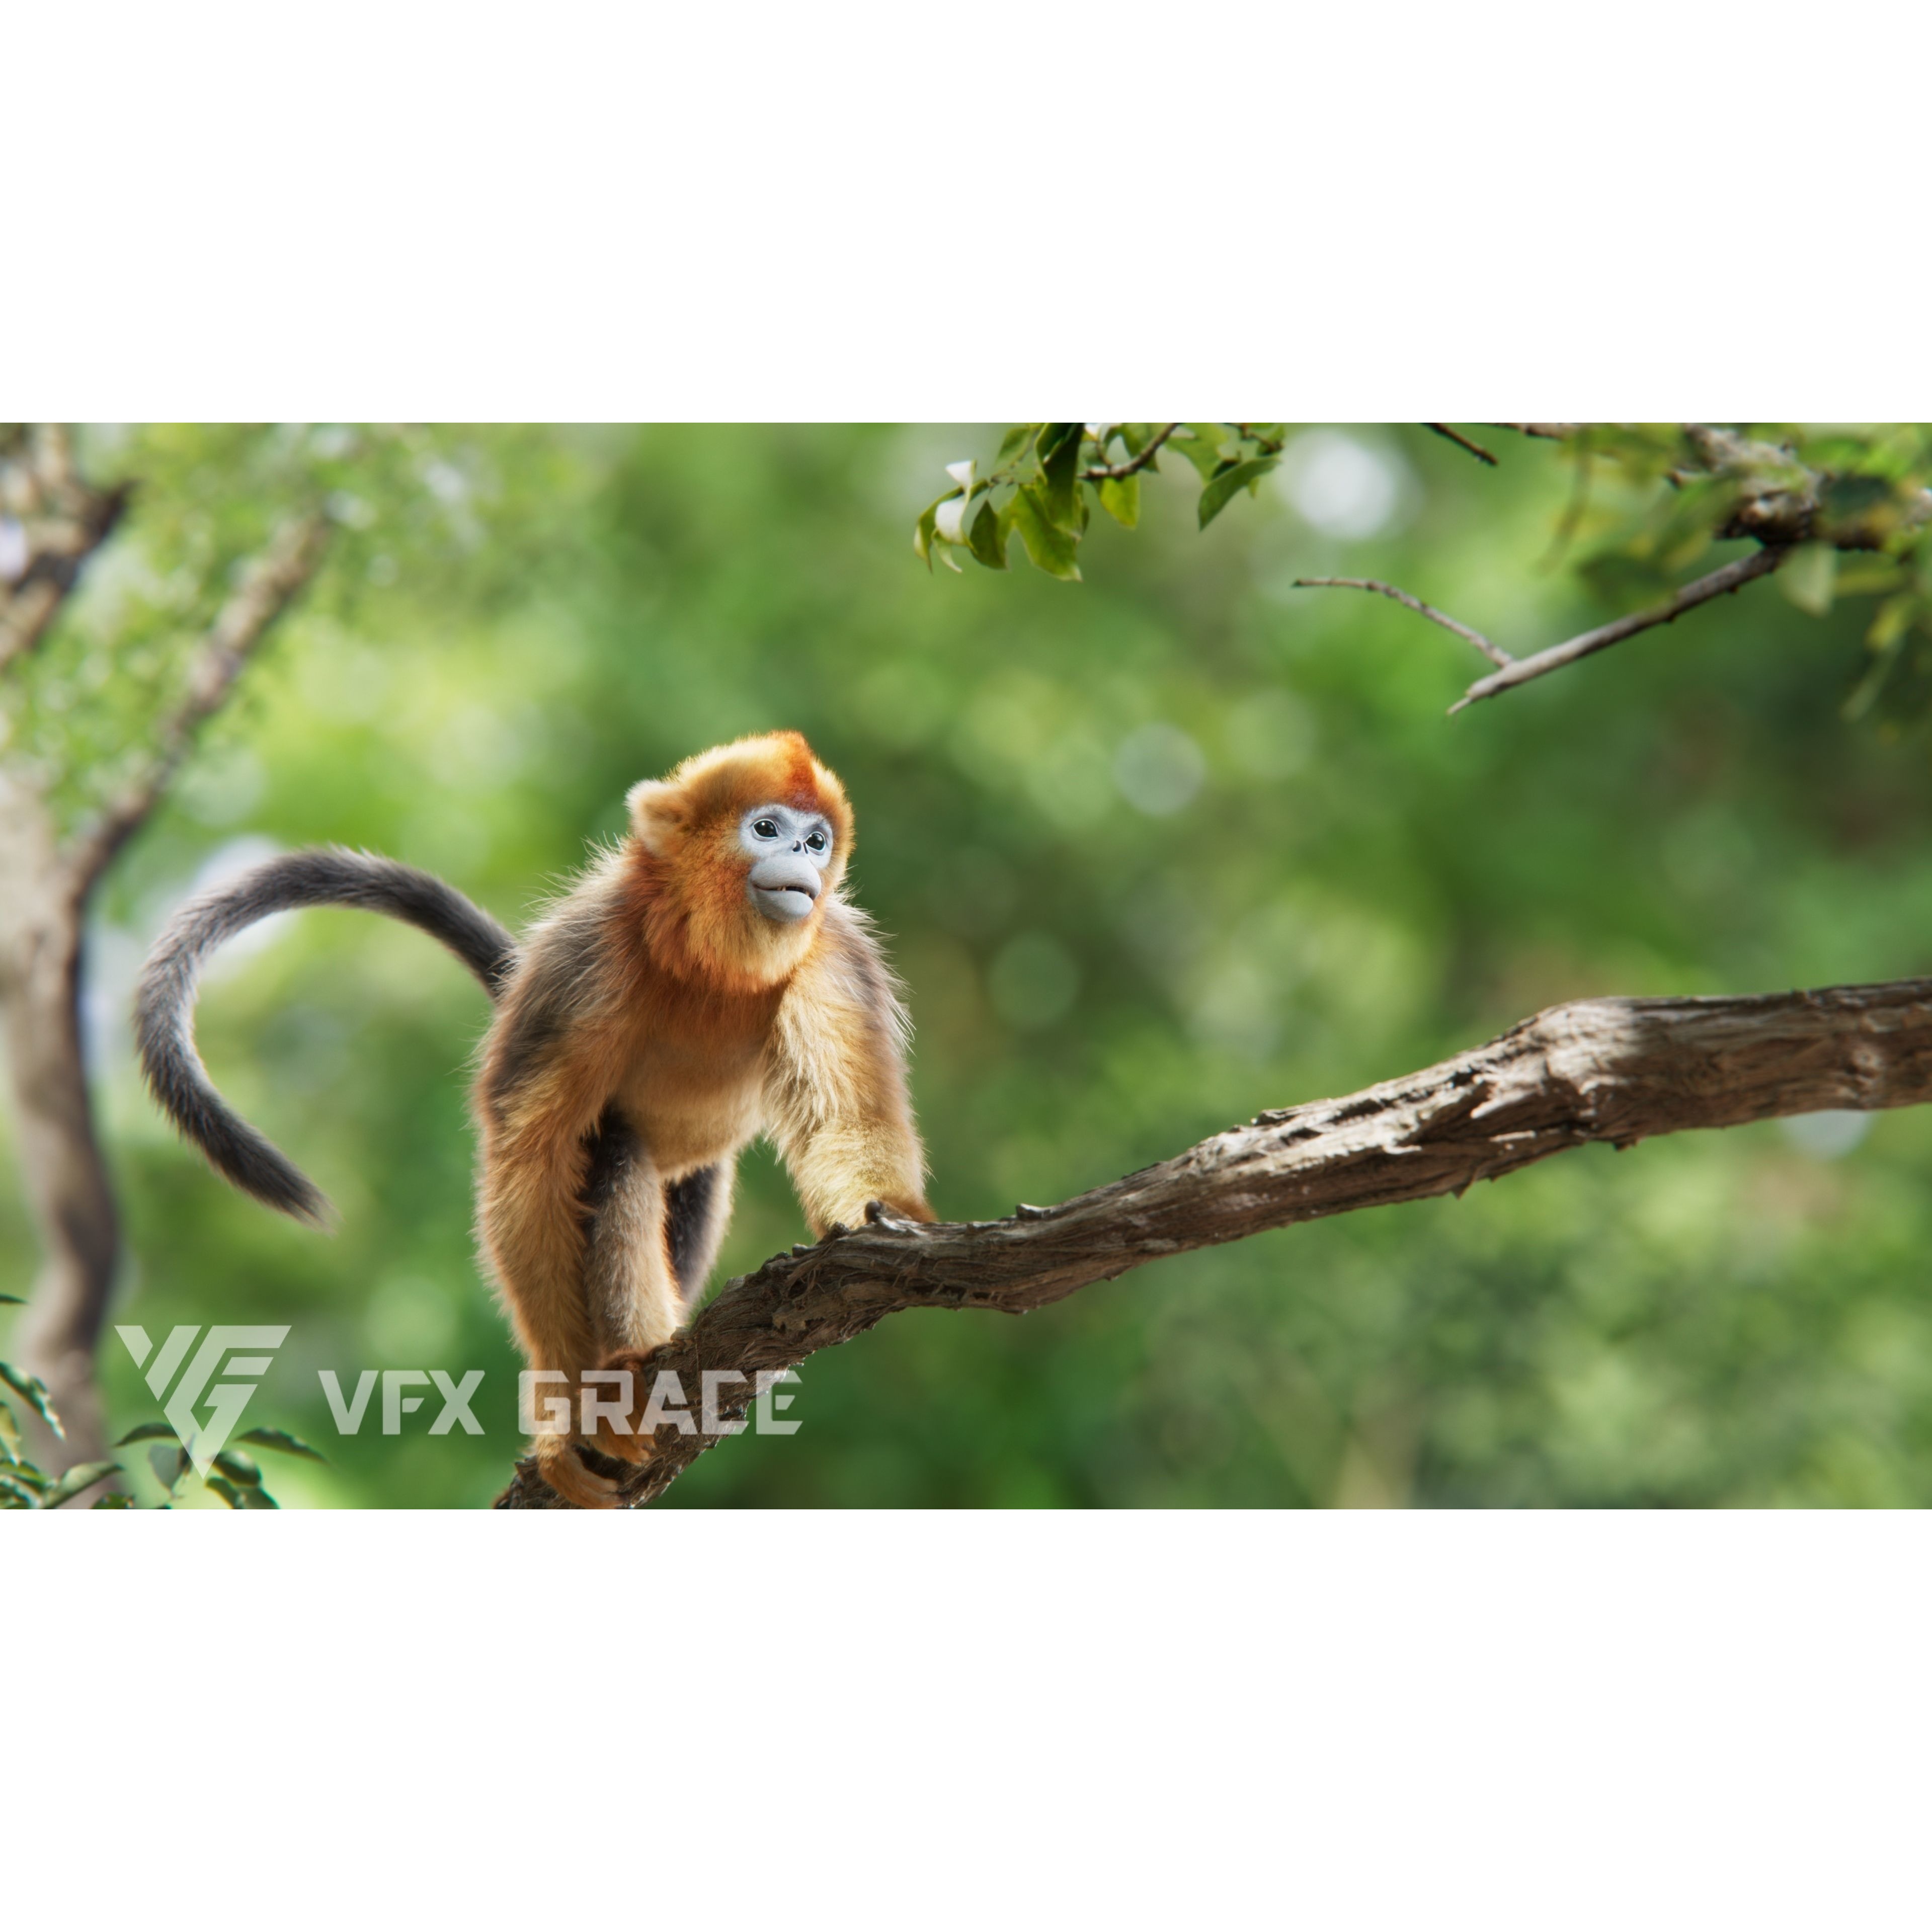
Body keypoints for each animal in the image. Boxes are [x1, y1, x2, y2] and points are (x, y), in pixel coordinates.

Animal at [135, 731, 933, 1507]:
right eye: (766, 828)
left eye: (818, 840)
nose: (802, 855)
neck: (710, 965)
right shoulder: (586, 961)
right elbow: (533, 1157)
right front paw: (571, 1412)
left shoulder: (835, 956)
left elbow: (849, 1121)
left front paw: (888, 1225)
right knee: (617, 1157)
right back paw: (634, 1359)